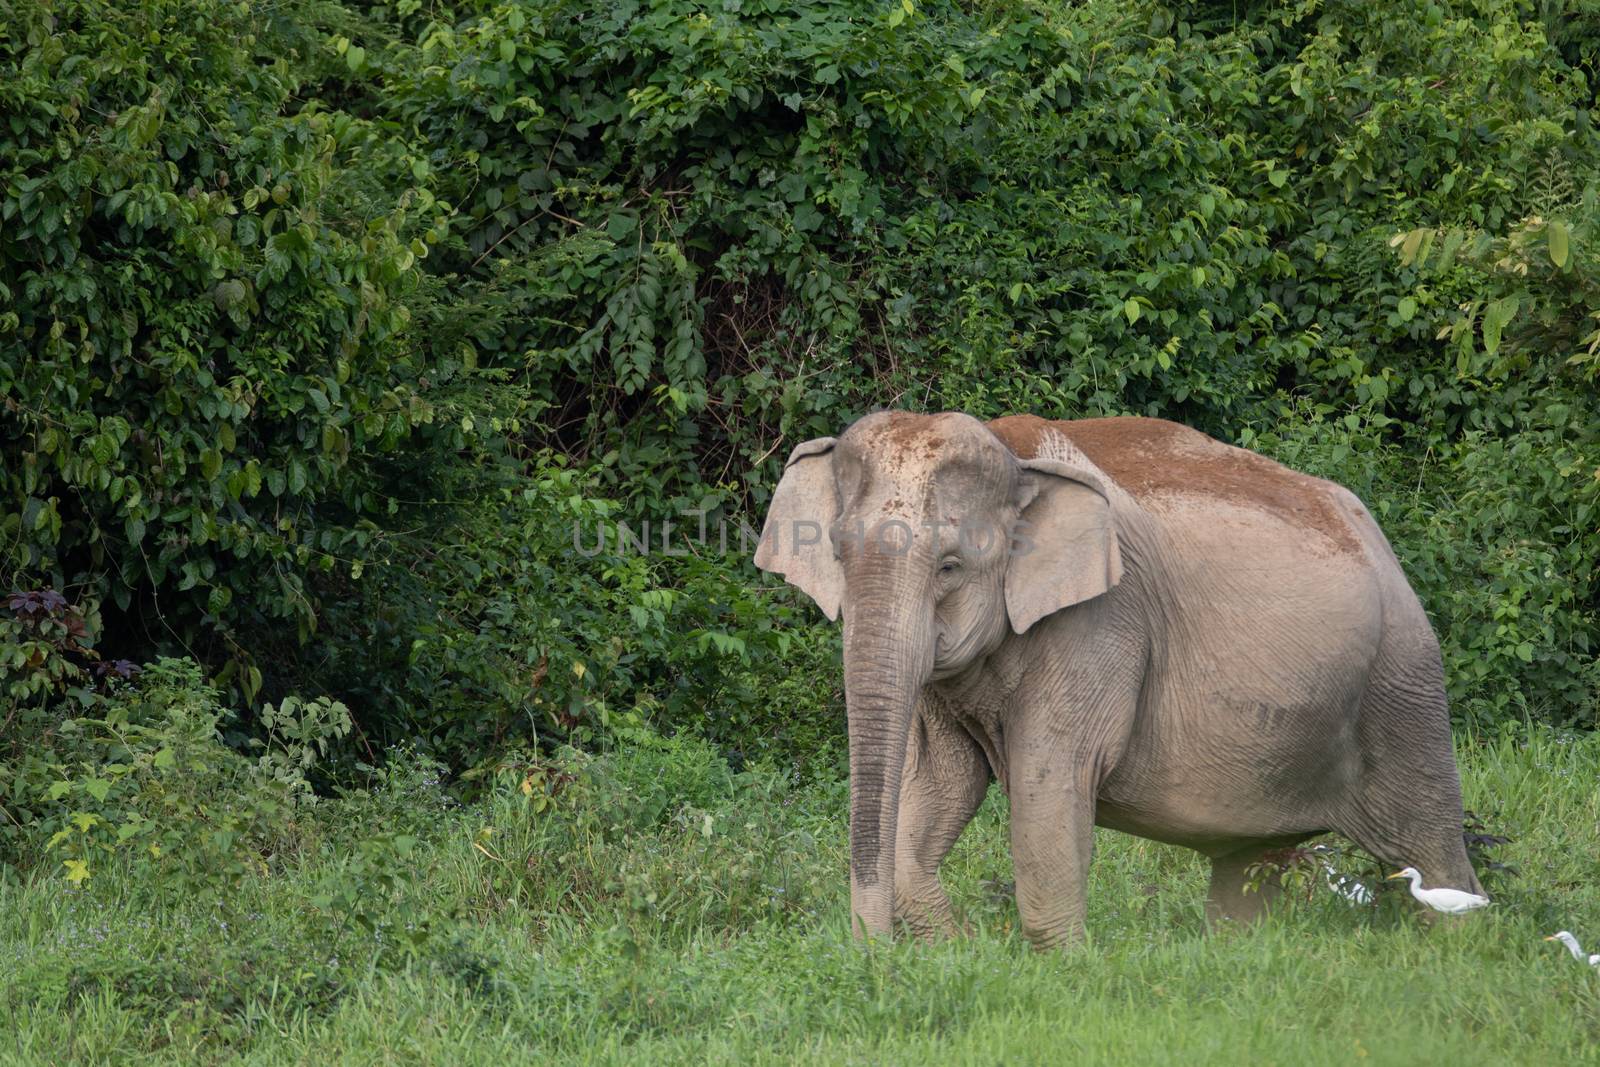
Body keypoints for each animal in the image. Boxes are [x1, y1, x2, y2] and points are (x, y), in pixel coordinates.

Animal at [755, 412, 1478, 947]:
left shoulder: (1101, 621)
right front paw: (954, 947)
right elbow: (940, 780)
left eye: (951, 566)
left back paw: (1456, 949)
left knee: (1430, 837)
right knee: (1251, 860)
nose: (876, 960)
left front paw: (1063, 970)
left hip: (1403, 677)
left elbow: (1050, 778)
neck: (1014, 456)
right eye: (837, 552)